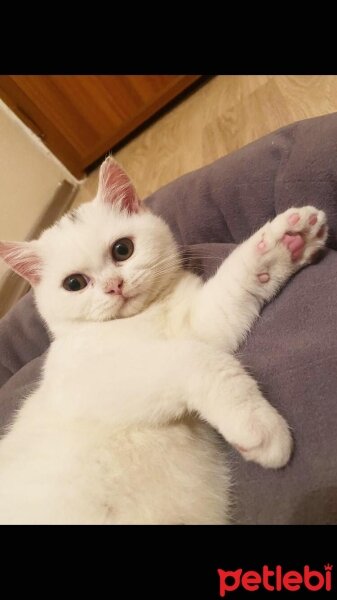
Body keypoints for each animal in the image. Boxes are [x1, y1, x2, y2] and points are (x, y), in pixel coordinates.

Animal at [0, 159, 326, 524]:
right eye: (74, 283)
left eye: (122, 249)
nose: (114, 286)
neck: (141, 319)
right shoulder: (97, 383)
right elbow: (199, 359)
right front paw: (259, 428)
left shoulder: (198, 325)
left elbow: (228, 298)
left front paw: (288, 242)